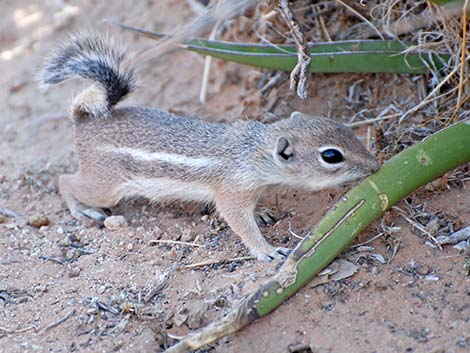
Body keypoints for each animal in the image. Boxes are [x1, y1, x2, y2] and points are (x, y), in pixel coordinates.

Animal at [39, 31, 378, 262]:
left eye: (344, 128)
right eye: (331, 156)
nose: (375, 165)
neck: (253, 151)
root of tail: (84, 120)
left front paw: (263, 212)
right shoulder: (231, 192)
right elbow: (239, 223)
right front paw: (267, 251)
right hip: (105, 186)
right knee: (66, 181)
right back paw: (82, 210)